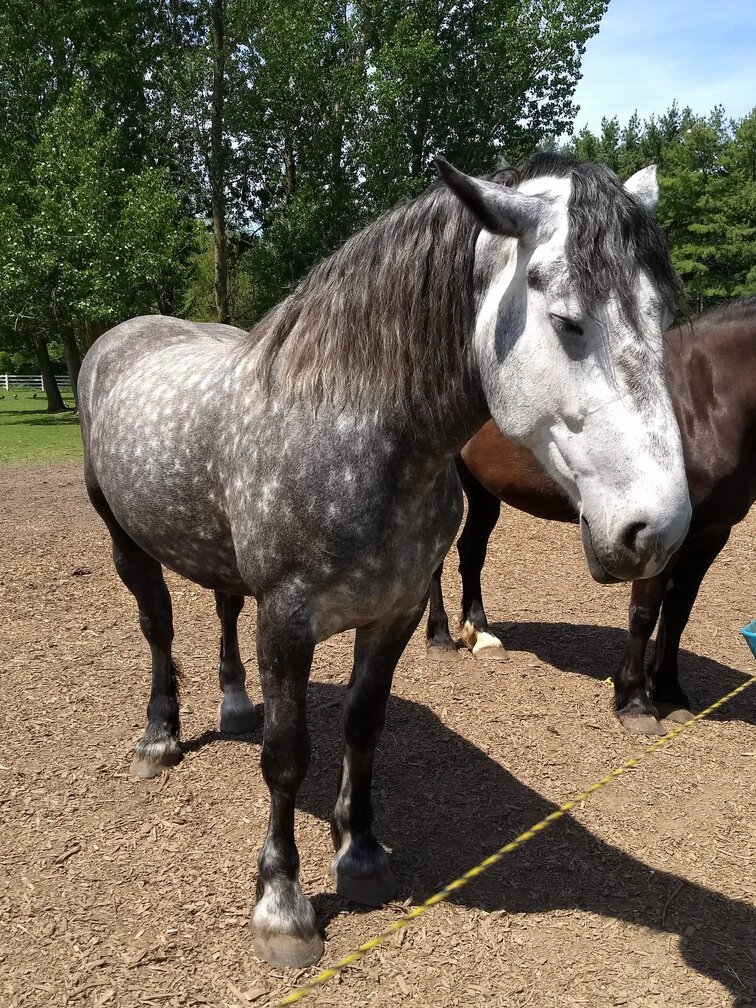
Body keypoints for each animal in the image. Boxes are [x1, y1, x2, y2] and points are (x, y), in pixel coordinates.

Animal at [429, 294, 756, 737]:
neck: (705, 398)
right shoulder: (654, 537)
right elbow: (645, 612)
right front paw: (635, 702)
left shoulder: (710, 536)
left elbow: (678, 613)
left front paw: (670, 694)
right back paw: (440, 639)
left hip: (483, 491)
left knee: (472, 551)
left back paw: (481, 635)